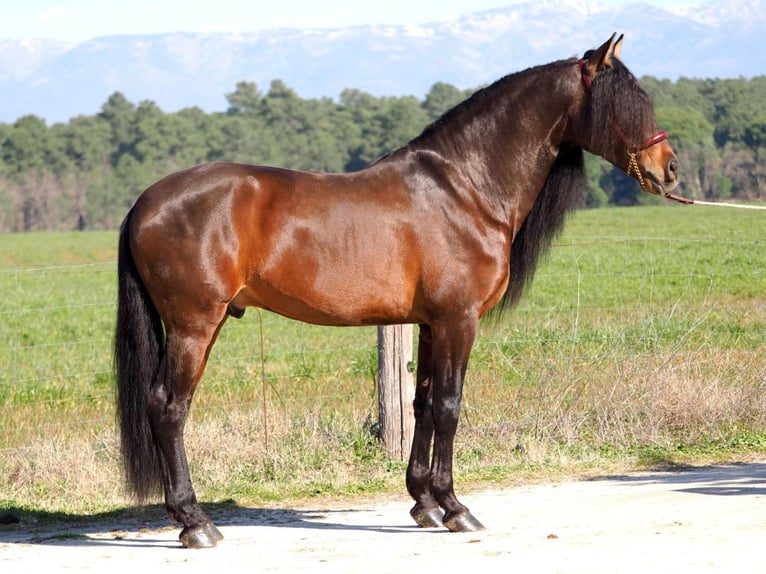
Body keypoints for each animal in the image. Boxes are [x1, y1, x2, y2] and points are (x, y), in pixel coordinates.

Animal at [112, 33, 680, 552]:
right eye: (624, 104)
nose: (669, 169)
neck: (465, 187)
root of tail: (145, 201)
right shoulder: (458, 320)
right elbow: (449, 406)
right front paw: (456, 508)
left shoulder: (430, 323)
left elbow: (423, 403)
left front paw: (424, 504)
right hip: (193, 326)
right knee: (168, 407)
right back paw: (195, 522)